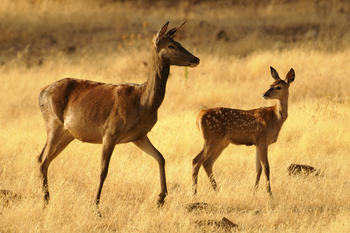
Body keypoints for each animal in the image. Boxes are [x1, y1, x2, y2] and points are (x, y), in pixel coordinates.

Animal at [36, 20, 198, 208]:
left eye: (179, 42)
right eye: (171, 45)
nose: (196, 59)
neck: (143, 102)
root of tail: (41, 93)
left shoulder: (139, 136)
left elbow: (160, 157)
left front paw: (161, 198)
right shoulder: (110, 132)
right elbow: (103, 170)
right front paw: (96, 206)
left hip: (68, 134)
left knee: (43, 159)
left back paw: (47, 199)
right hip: (53, 124)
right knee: (43, 160)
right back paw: (46, 200)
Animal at [193, 67, 294, 195]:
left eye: (278, 87)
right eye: (270, 85)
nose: (264, 94)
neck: (275, 118)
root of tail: (198, 117)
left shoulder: (258, 143)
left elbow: (258, 168)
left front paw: (254, 191)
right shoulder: (262, 140)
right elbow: (266, 167)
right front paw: (270, 194)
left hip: (222, 142)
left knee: (207, 162)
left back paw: (217, 190)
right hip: (211, 138)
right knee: (196, 161)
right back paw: (194, 192)